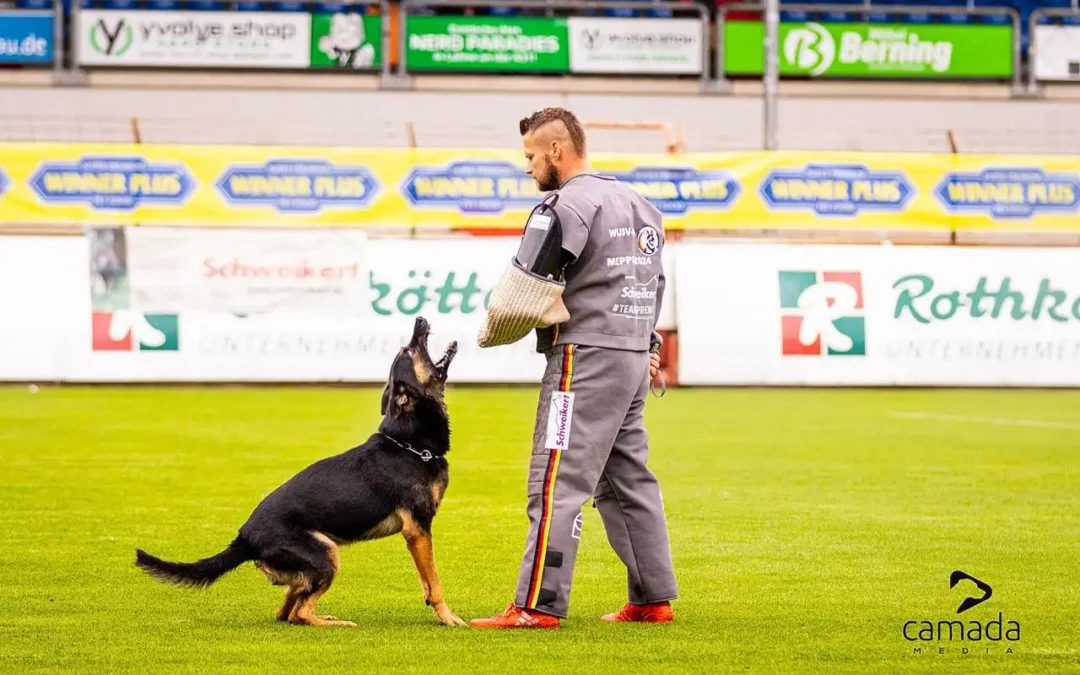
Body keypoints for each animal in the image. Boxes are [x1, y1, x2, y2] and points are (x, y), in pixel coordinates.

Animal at [133, 315, 464, 626]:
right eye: (410, 350)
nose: (419, 320)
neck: (409, 443)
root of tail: (244, 538)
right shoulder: (417, 530)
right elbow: (434, 582)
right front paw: (447, 618)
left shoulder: (417, 532)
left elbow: (427, 581)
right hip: (326, 553)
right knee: (299, 613)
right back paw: (338, 623)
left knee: (287, 610)